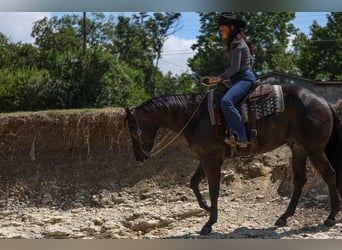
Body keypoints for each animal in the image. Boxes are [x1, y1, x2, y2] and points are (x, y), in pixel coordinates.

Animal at [125, 85, 342, 235]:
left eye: (133, 130)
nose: (139, 157)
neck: (195, 116)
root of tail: (324, 102)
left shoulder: (211, 159)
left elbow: (213, 189)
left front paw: (209, 223)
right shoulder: (206, 158)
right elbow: (194, 182)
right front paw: (206, 208)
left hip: (314, 150)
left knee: (330, 175)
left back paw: (331, 217)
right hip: (299, 149)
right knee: (299, 181)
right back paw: (284, 217)